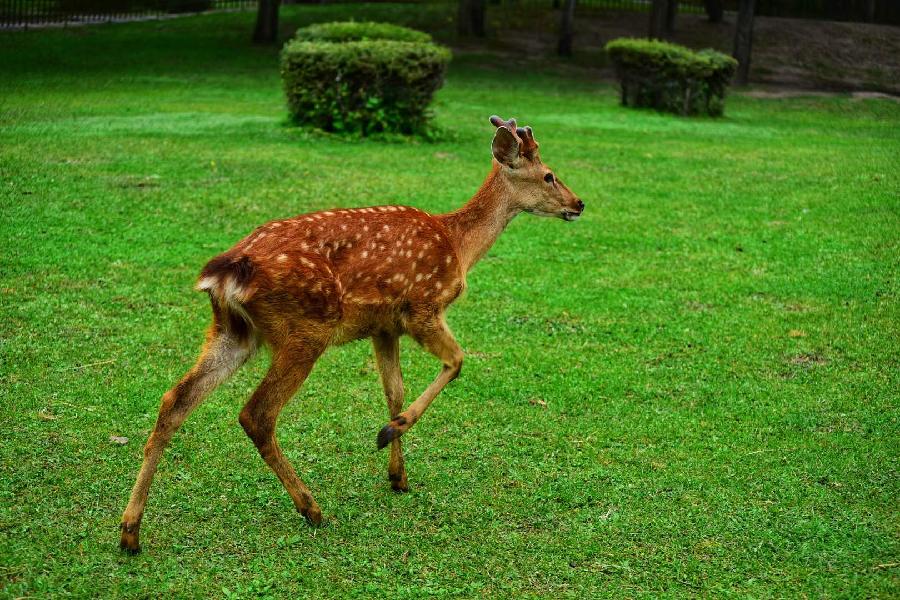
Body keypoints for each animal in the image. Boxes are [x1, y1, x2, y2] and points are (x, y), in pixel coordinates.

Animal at [120, 115, 584, 553]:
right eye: (548, 174)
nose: (578, 203)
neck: (458, 246)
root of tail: (226, 271)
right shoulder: (422, 307)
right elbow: (456, 361)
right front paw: (388, 433)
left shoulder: (384, 327)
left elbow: (394, 390)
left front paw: (398, 474)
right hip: (305, 329)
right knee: (257, 413)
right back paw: (311, 507)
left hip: (233, 332)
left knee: (175, 400)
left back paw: (130, 531)